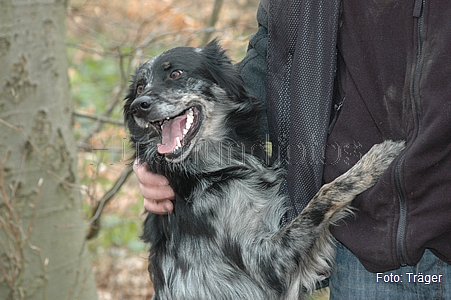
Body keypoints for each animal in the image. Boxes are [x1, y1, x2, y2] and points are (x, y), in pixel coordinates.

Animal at [123, 40, 406, 300]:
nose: (139, 106)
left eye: (175, 74)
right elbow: (322, 197)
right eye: (140, 87)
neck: (210, 171)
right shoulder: (268, 263)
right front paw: (373, 162)